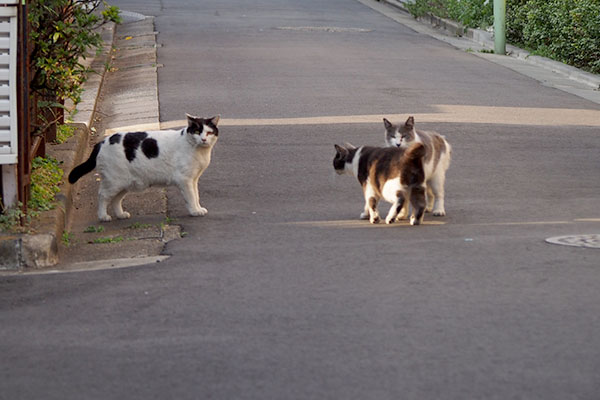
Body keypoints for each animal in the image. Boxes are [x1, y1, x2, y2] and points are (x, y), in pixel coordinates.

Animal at [68, 114, 220, 222]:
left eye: (209, 133)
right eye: (197, 131)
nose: (204, 139)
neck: (199, 151)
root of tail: (102, 142)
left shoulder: (194, 180)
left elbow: (196, 195)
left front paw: (198, 208)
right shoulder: (185, 180)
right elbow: (191, 197)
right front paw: (194, 211)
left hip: (124, 183)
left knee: (116, 199)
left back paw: (121, 214)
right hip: (114, 182)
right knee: (102, 196)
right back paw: (103, 216)